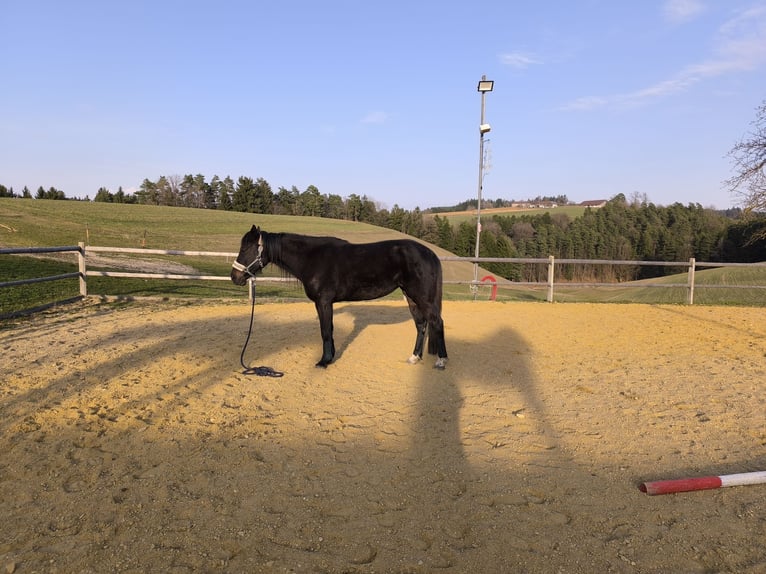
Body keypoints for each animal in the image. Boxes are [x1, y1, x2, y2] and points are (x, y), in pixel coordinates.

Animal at [231, 225, 448, 369]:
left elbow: (326, 331)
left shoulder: (323, 302)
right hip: (411, 297)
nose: (235, 277)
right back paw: (414, 357)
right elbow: (328, 329)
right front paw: (331, 356)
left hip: (422, 297)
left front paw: (324, 361)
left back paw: (441, 360)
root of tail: (429, 253)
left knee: (436, 322)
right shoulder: (325, 304)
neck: (312, 258)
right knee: (421, 325)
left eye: (246, 248)